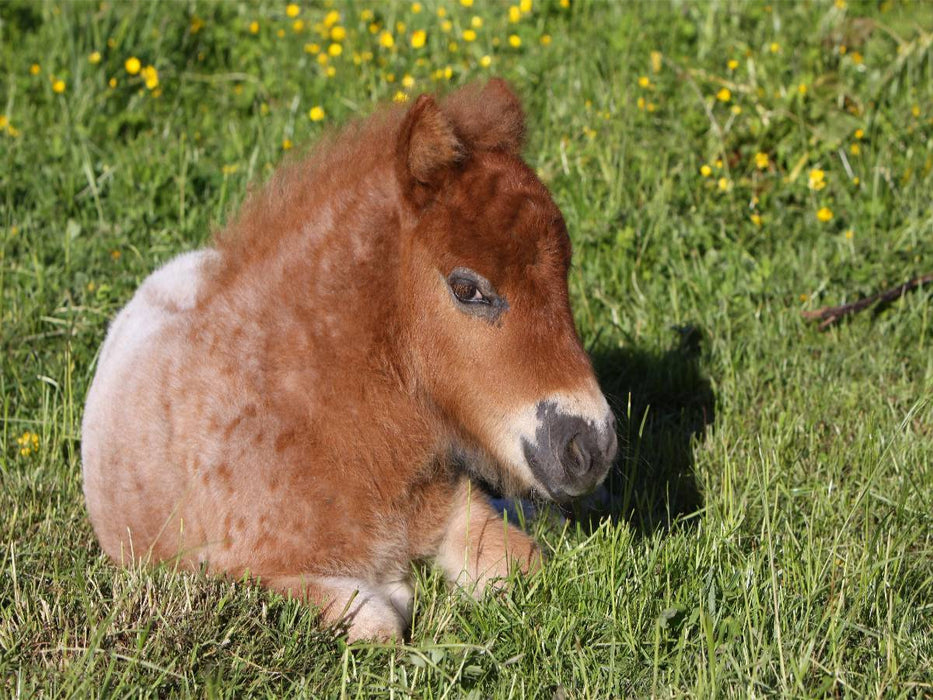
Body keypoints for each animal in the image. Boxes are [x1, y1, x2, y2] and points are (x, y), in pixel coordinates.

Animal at [81, 79, 617, 641]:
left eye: (565, 271)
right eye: (467, 288)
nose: (592, 447)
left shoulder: (450, 506)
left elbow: (521, 564)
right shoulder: (241, 573)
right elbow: (379, 621)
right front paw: (400, 592)